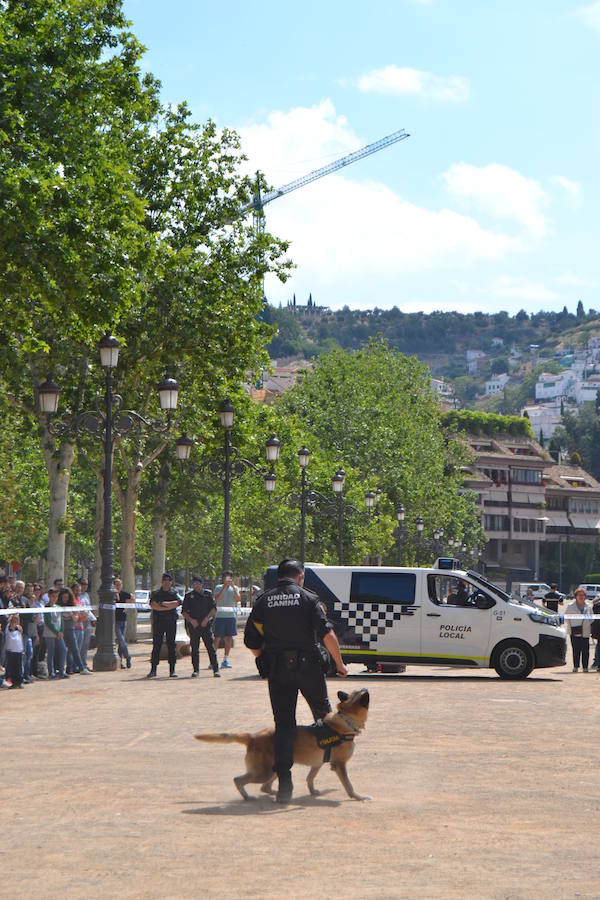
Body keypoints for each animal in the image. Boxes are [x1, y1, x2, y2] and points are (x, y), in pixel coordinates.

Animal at [195, 688, 370, 800]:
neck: (346, 719)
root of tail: (252, 737)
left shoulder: (317, 764)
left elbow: (310, 778)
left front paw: (313, 791)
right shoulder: (340, 765)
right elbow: (348, 785)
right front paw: (357, 796)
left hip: (275, 769)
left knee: (264, 787)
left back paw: (278, 793)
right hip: (264, 772)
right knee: (238, 780)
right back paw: (248, 797)